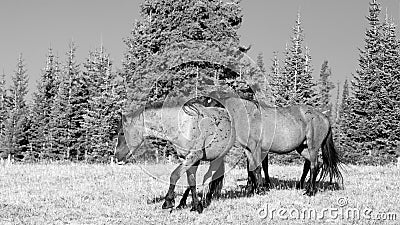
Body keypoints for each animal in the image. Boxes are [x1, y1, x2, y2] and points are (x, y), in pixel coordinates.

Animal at [208, 91, 342, 195]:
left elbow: (258, 168)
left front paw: (260, 189)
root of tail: (324, 117)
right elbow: (251, 169)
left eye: (213, 103)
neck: (248, 116)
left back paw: (310, 191)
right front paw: (252, 190)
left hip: (313, 146)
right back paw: (303, 186)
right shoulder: (248, 150)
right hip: (302, 148)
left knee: (314, 165)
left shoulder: (256, 149)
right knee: (312, 165)